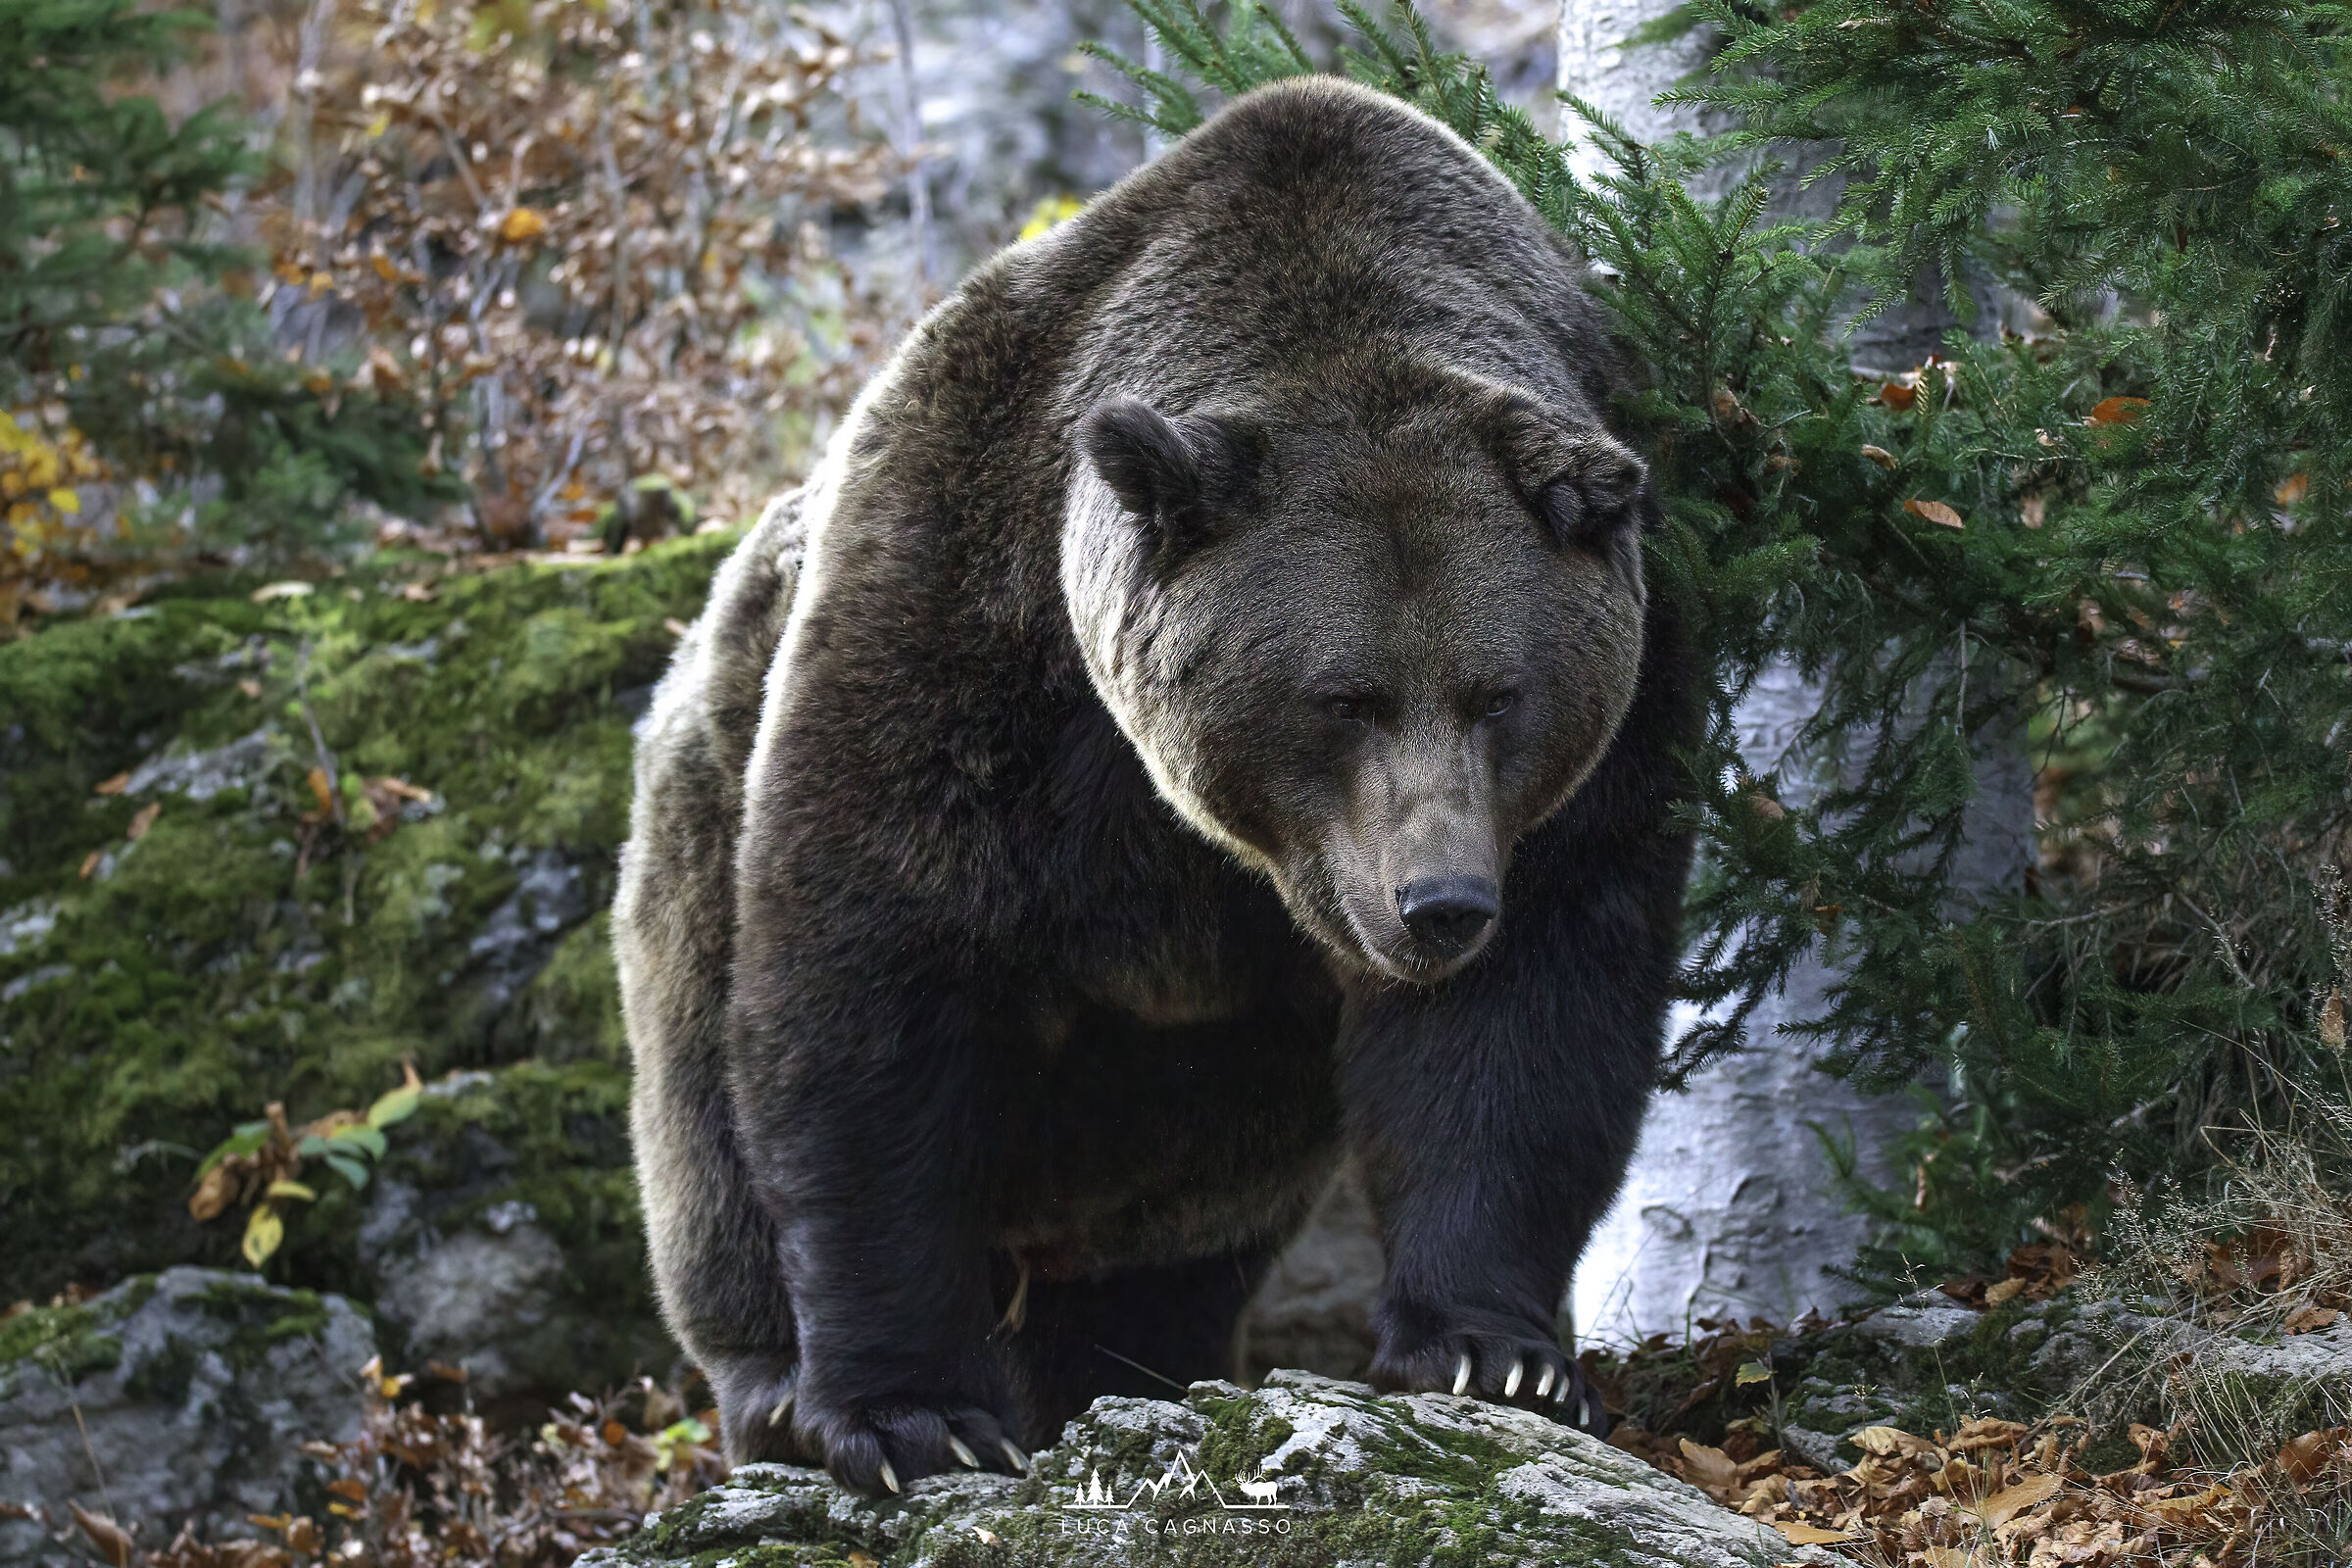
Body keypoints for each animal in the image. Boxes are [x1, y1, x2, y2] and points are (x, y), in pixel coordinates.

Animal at [612, 73, 1698, 1495]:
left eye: (1497, 694)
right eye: (1343, 696)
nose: (1440, 902)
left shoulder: (1613, 724)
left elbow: (1531, 1013)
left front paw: (1494, 1352)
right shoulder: (969, 636)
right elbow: (876, 984)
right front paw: (911, 1415)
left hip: (1188, 1148)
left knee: (1162, 1256)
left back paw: (1136, 1370)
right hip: (700, 809)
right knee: (708, 1131)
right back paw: (781, 1395)